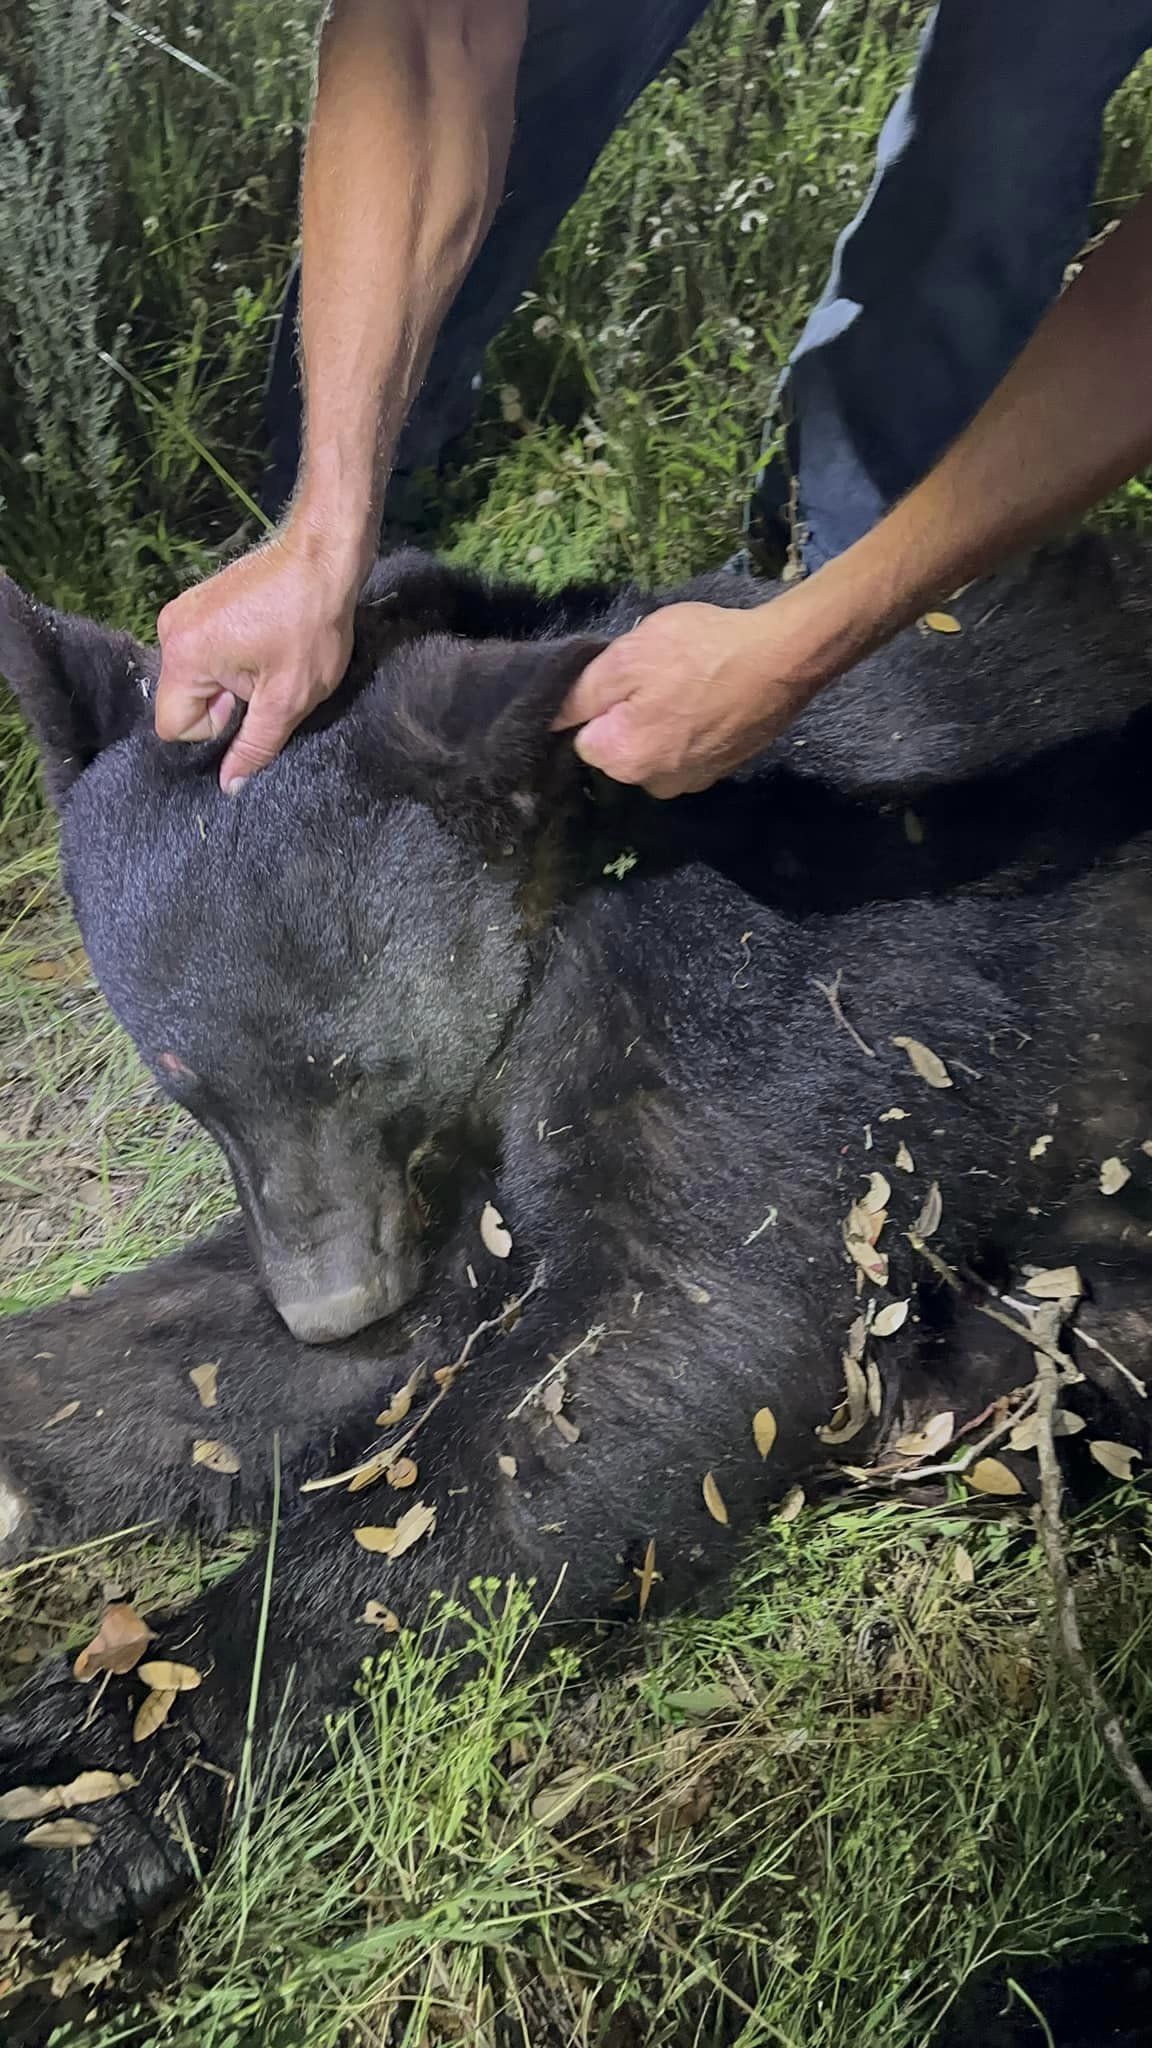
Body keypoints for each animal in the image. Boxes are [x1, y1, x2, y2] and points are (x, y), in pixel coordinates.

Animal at [2, 540, 1147, 1933]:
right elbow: (235, 1343)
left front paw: (96, 1768)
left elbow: (667, 1318)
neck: (569, 849)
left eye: (358, 1067)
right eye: (187, 1087)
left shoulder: (791, 972)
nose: (336, 1300)